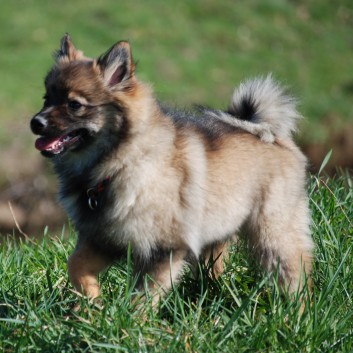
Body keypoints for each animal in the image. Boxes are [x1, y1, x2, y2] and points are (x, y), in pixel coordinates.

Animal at [29, 35, 310, 306]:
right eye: (46, 99)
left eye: (74, 105)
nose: (35, 122)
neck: (117, 165)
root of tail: (270, 132)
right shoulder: (103, 239)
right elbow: (75, 265)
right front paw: (91, 303)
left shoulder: (163, 250)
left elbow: (141, 298)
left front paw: (129, 320)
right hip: (218, 235)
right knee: (215, 269)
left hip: (273, 235)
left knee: (296, 276)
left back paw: (294, 314)